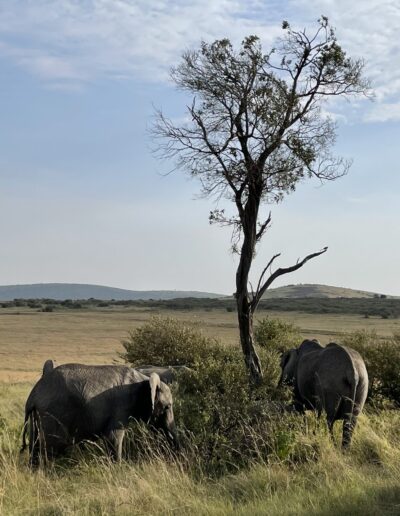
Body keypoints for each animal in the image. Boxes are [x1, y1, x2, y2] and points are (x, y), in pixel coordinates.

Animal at [21, 360, 177, 466]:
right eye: (167, 407)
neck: (143, 379)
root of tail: (33, 396)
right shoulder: (120, 405)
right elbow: (113, 437)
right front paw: (119, 469)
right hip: (52, 414)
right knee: (51, 448)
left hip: (37, 417)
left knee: (35, 446)